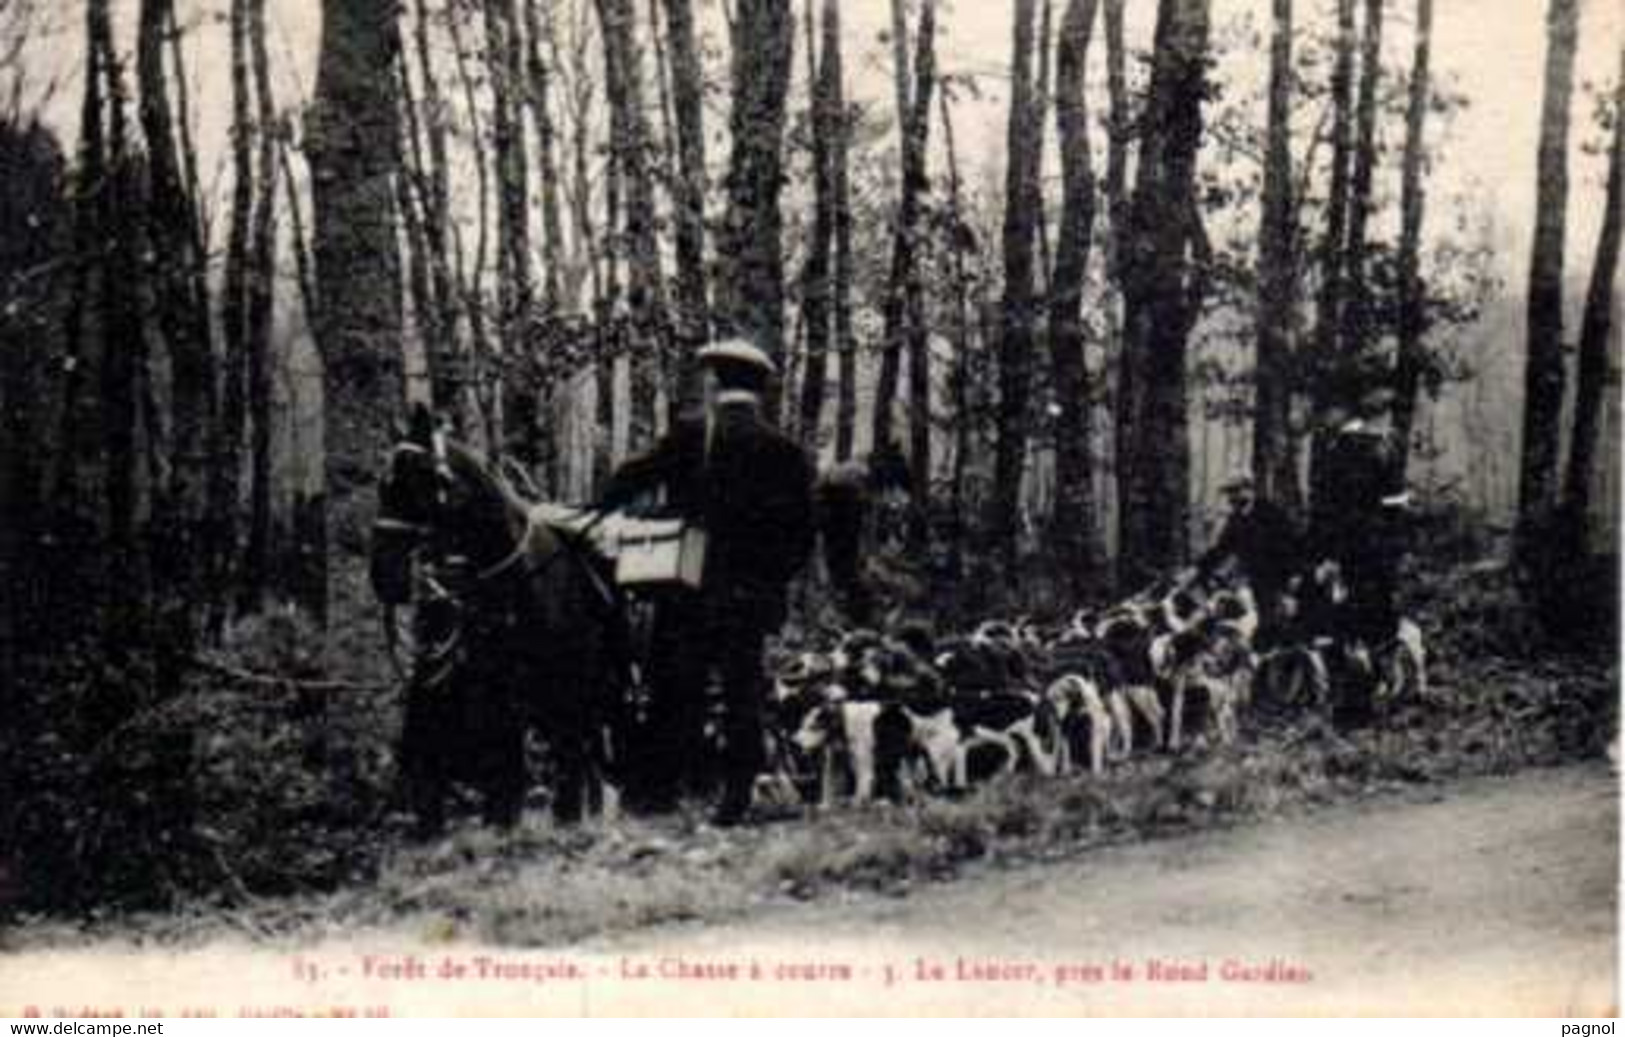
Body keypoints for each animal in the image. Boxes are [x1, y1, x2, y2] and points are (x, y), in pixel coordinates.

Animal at [370, 406, 627, 838]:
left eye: (423, 480)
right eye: (382, 486)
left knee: (578, 755)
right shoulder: (473, 688)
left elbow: (515, 768)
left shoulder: (529, 693)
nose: (383, 576)